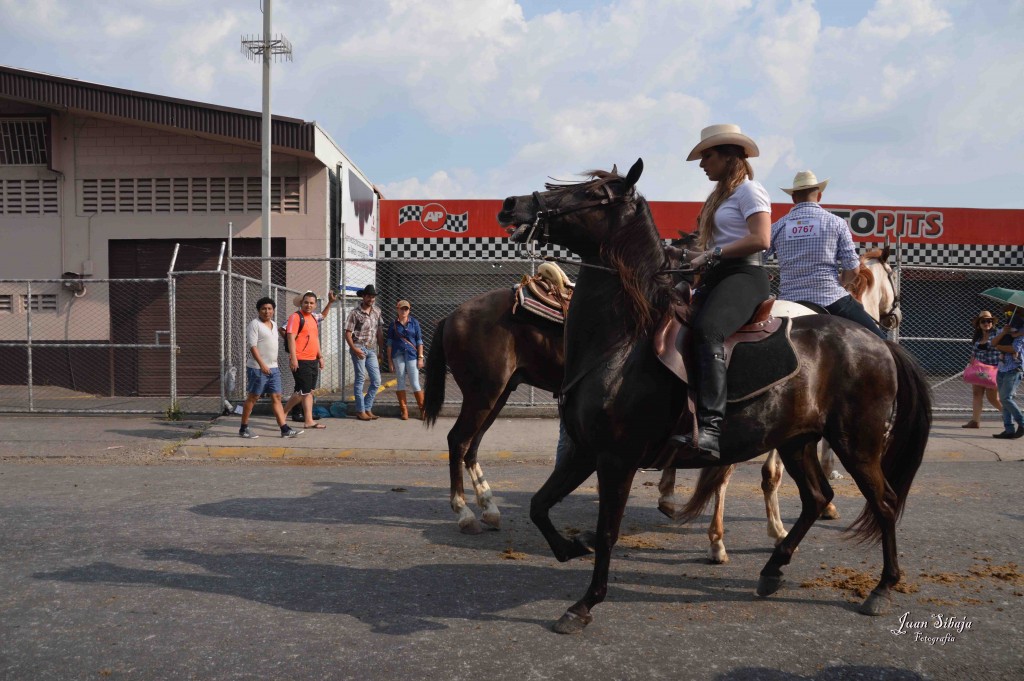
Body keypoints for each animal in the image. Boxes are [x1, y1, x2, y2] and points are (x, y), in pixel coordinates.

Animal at [499, 159, 933, 630]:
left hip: (857, 445)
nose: (512, 204)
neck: (622, 344)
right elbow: (540, 505)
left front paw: (584, 603)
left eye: (593, 194)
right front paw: (571, 549)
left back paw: (881, 588)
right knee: (819, 498)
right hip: (798, 442)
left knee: (884, 503)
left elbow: (607, 529)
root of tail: (878, 343)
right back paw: (772, 569)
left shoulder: (616, 458)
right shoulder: (584, 451)